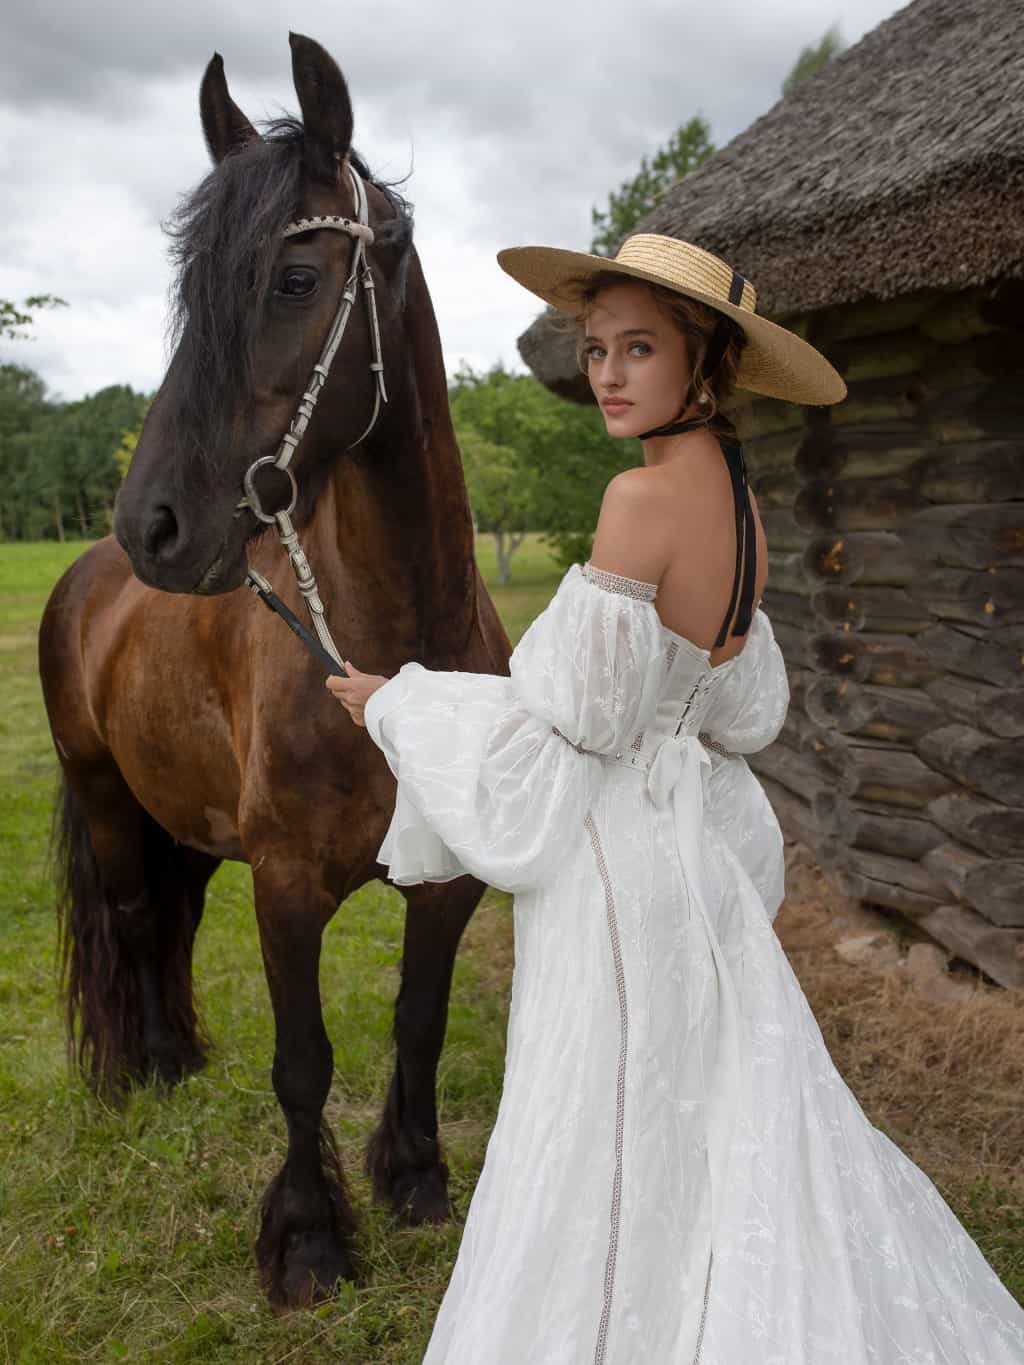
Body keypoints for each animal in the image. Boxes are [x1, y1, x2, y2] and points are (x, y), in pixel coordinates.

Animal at [40, 34, 513, 1310]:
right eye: (187, 292)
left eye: (295, 281)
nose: (152, 525)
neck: (392, 654)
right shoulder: (289, 884)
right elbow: (303, 1061)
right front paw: (307, 1243)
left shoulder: (446, 884)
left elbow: (416, 1021)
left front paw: (413, 1180)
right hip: (109, 800)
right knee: (132, 917)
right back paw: (154, 1068)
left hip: (190, 822)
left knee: (170, 920)